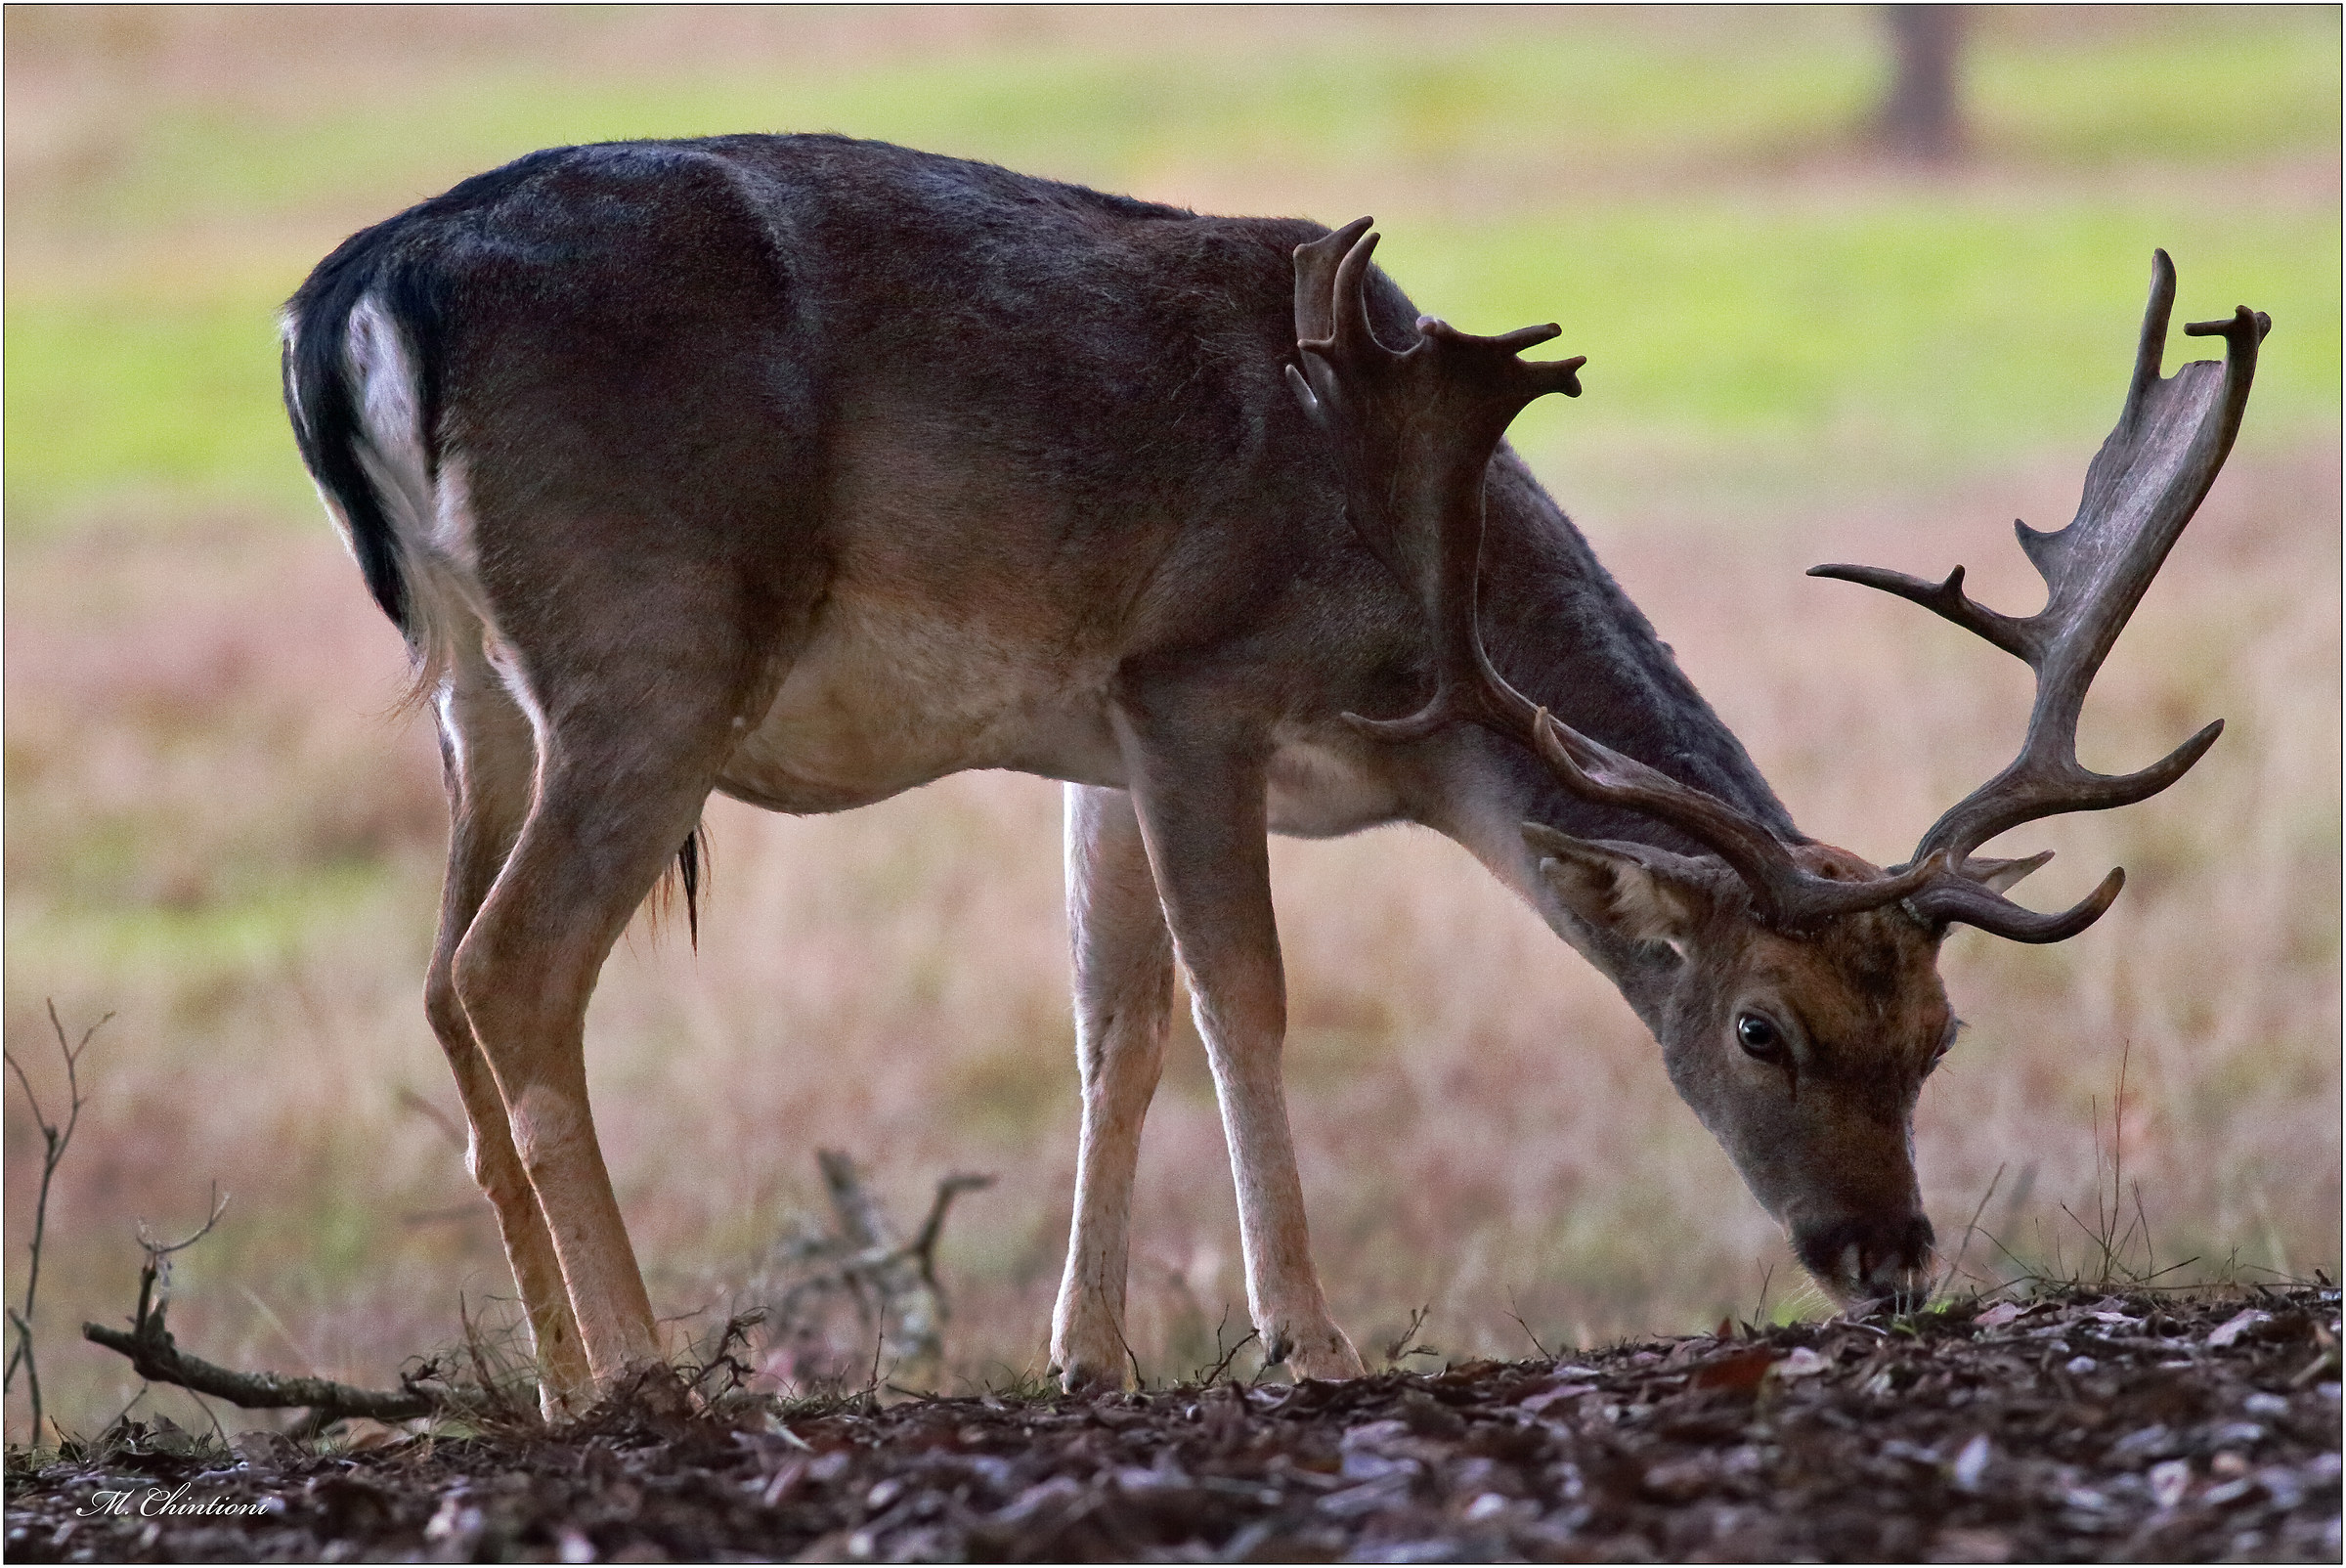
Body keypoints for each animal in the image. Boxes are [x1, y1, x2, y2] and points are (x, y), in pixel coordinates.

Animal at [280, 135, 2264, 1412]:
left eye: (1937, 1035)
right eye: (1758, 1027)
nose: (1889, 1257)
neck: (1415, 685)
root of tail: (352, 298)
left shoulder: (1086, 743)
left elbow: (1116, 1019)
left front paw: (1089, 1353)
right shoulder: (1192, 682)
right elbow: (1246, 999)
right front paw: (1303, 1334)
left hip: (474, 685)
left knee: (441, 985)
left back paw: (548, 1375)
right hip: (655, 644)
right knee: (513, 969)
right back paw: (638, 1372)